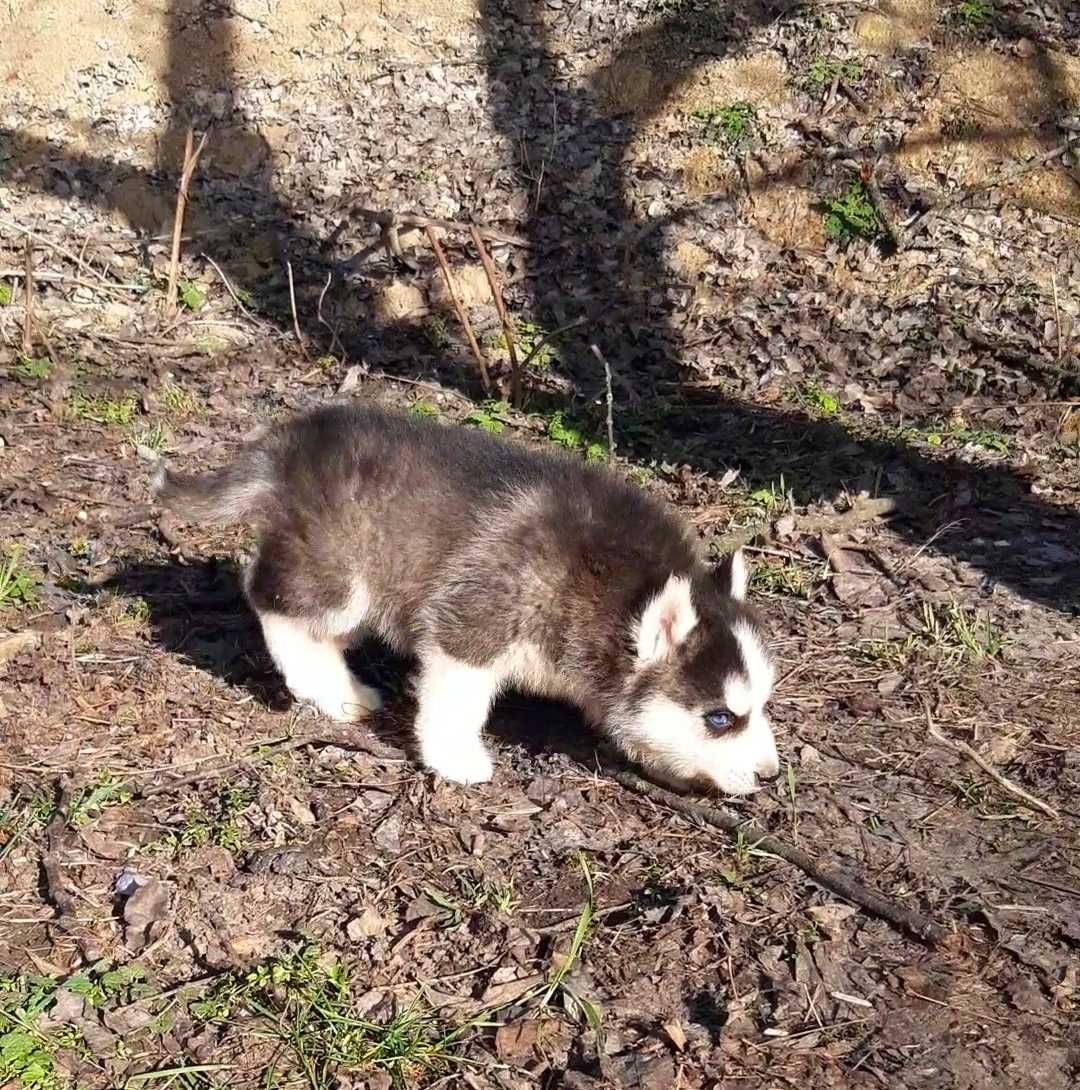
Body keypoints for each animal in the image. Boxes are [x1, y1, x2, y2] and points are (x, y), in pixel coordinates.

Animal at [153, 405, 775, 797]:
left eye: (761, 705)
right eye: (720, 718)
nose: (771, 774)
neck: (610, 586)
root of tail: (291, 441)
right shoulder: (474, 621)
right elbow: (459, 698)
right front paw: (455, 757)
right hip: (341, 571)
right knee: (270, 597)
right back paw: (330, 689)